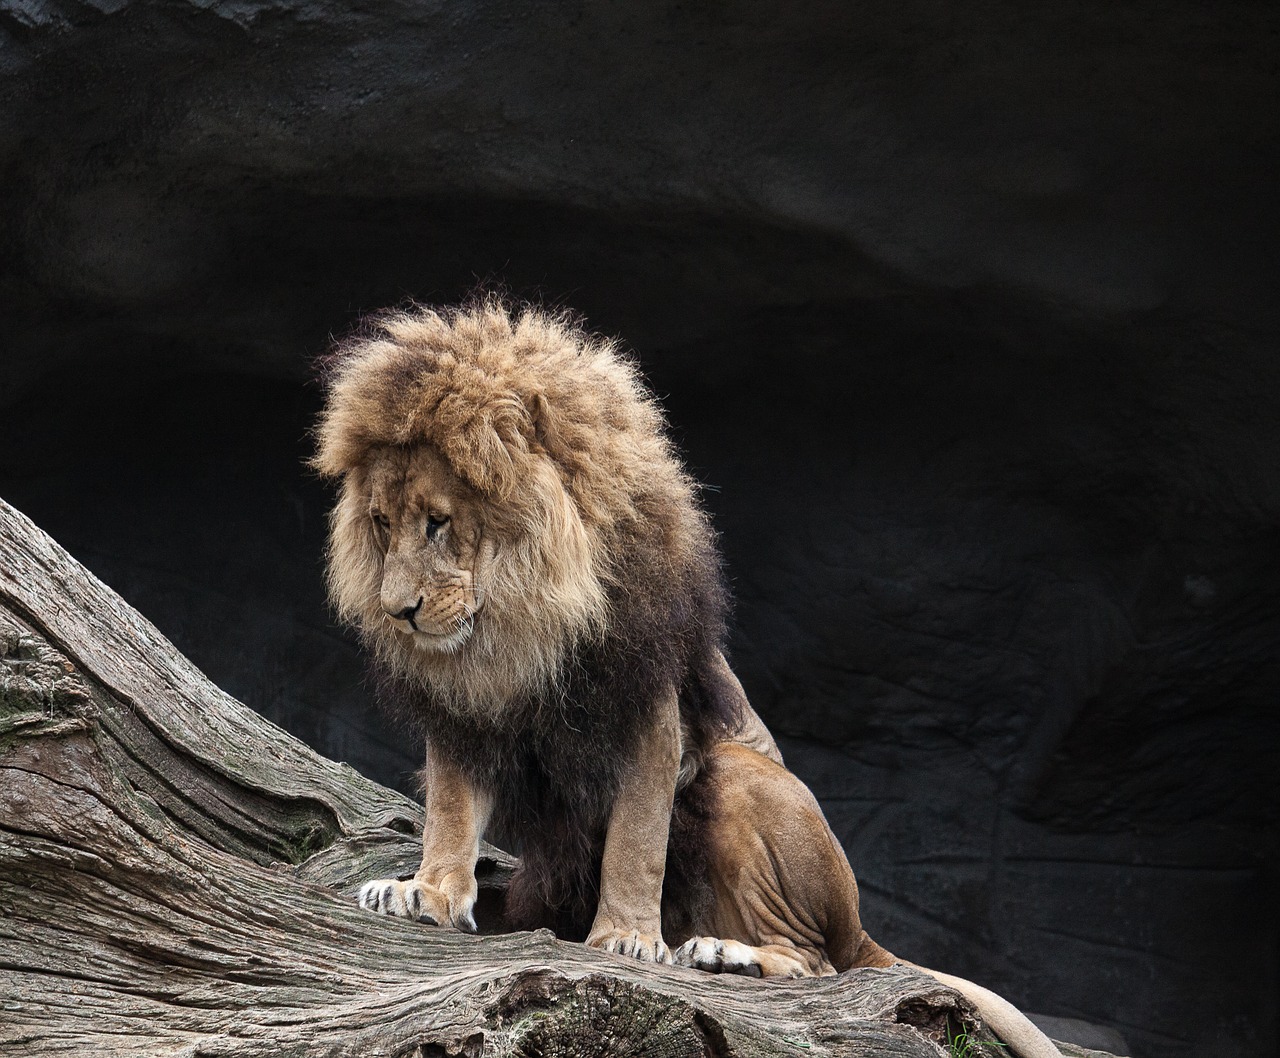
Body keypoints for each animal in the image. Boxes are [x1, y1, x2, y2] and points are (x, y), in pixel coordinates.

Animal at [314, 299, 1064, 1058]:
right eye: (381, 524)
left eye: (439, 522)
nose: (397, 612)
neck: (519, 628)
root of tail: (859, 926)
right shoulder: (465, 714)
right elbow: (452, 807)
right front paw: (430, 893)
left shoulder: (649, 702)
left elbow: (638, 835)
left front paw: (625, 937)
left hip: (734, 777)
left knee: (818, 964)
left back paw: (719, 954)